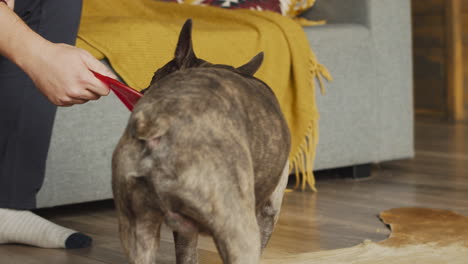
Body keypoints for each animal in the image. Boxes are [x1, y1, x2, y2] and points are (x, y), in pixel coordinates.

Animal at [111, 19, 290, 264]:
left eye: (154, 74)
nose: (141, 90)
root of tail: (164, 120)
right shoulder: (269, 210)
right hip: (239, 228)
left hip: (139, 226)